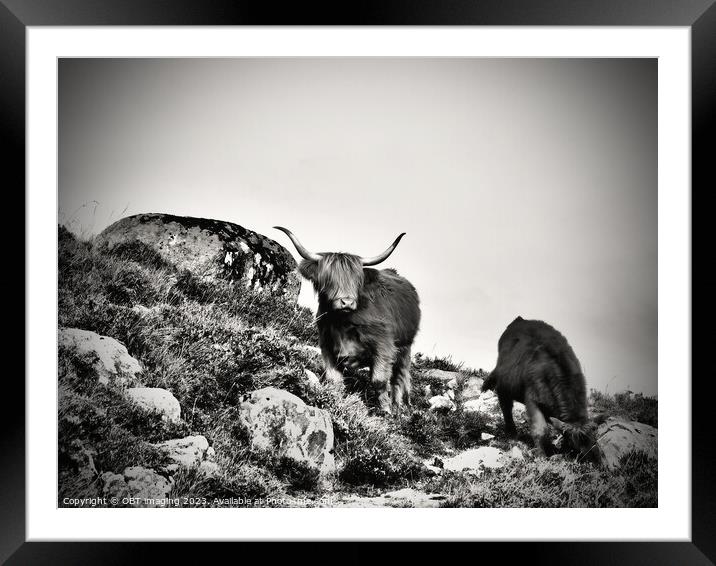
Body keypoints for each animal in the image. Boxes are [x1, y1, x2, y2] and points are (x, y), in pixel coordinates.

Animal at [274, 226, 420, 418]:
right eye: (329, 279)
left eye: (357, 281)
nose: (347, 302)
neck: (342, 323)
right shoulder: (327, 346)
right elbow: (333, 379)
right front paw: (334, 402)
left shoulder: (384, 346)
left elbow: (379, 380)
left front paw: (385, 410)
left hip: (404, 347)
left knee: (400, 378)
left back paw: (398, 408)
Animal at [484, 316, 600, 466]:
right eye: (573, 447)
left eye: (595, 442)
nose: (592, 464)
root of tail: (520, 319)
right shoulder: (532, 399)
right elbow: (540, 430)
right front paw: (541, 456)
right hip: (504, 385)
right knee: (506, 406)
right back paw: (512, 433)